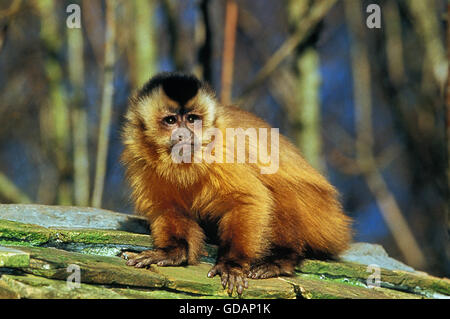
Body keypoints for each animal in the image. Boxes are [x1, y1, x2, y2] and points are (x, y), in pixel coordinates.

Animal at [121, 71, 354, 296]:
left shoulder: (222, 147)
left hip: (325, 220)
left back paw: (281, 260)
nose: (184, 134)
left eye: (192, 119)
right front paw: (172, 252)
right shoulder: (140, 157)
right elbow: (168, 208)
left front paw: (232, 264)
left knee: (280, 187)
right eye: (171, 121)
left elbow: (247, 199)